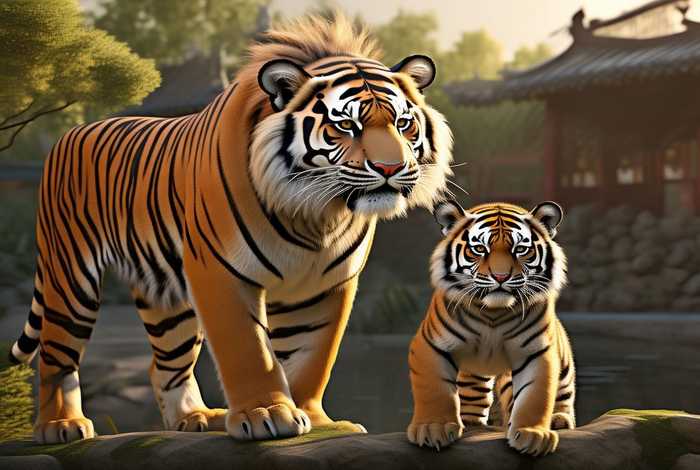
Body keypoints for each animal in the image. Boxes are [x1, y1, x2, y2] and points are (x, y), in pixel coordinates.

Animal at [8, 13, 453, 444]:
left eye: (404, 124)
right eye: (346, 126)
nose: (391, 168)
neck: (317, 214)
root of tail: (69, 135)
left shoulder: (326, 283)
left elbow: (312, 356)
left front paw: (315, 421)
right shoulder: (221, 271)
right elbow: (249, 349)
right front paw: (266, 414)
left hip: (169, 298)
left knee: (165, 364)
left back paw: (195, 417)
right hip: (70, 276)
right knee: (56, 355)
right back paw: (61, 425)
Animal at [407, 200, 575, 456]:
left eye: (520, 249)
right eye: (479, 248)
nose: (501, 276)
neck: (494, 313)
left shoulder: (536, 352)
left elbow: (535, 394)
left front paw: (532, 434)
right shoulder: (430, 345)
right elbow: (434, 388)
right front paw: (433, 428)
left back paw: (558, 420)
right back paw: (471, 423)